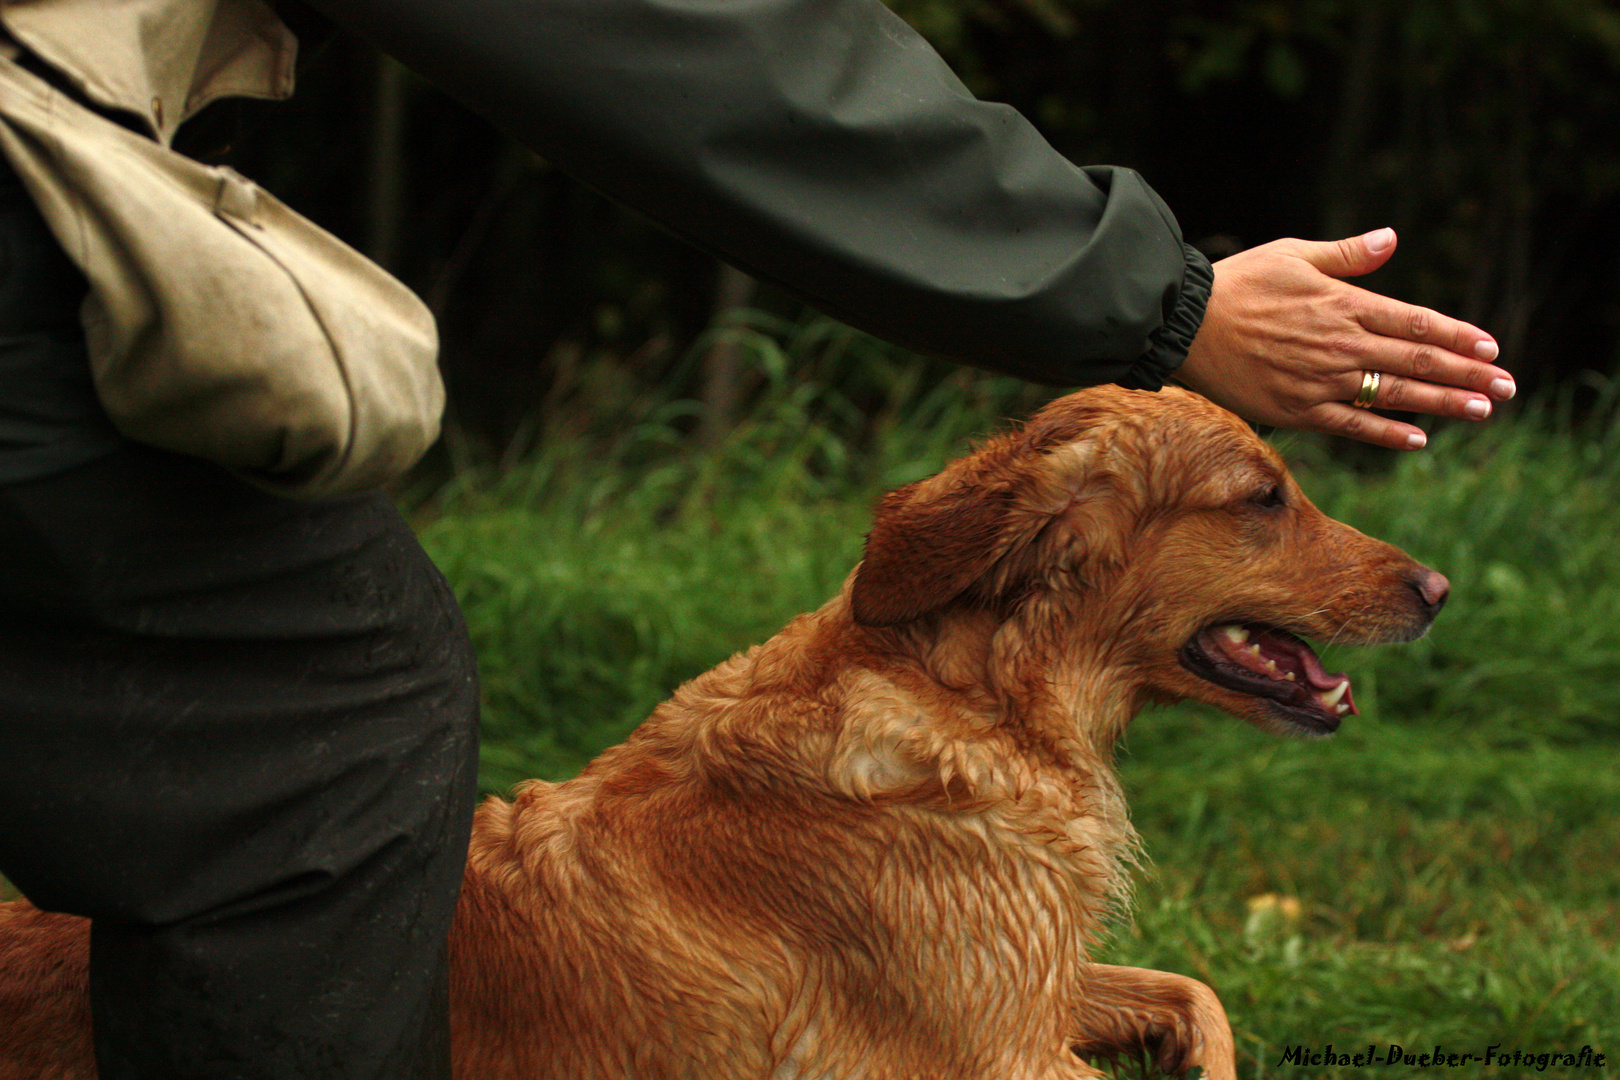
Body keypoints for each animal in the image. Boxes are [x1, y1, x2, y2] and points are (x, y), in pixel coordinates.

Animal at [0, 383, 1445, 1075]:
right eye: (1263, 497)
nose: (1438, 587)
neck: (973, 703)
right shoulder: (986, 1053)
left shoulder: (1021, 991)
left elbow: (1202, 998)